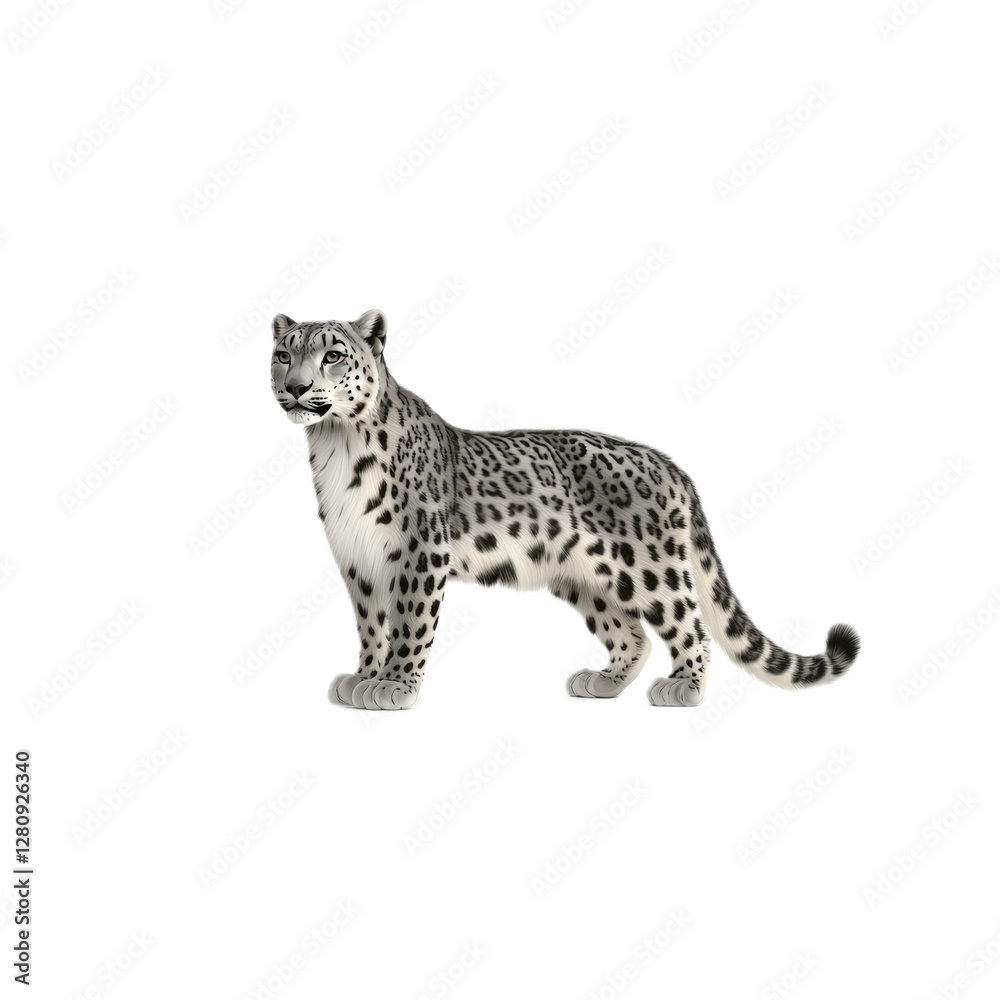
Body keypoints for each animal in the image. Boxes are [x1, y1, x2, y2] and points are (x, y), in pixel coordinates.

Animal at [270, 310, 860, 711]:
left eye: (332, 355)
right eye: (283, 355)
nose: (295, 387)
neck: (335, 442)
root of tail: (670, 464)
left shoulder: (418, 551)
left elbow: (410, 621)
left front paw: (393, 686)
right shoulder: (359, 559)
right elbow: (372, 624)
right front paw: (362, 676)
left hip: (651, 567)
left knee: (689, 625)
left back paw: (683, 688)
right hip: (585, 577)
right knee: (633, 634)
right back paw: (602, 682)